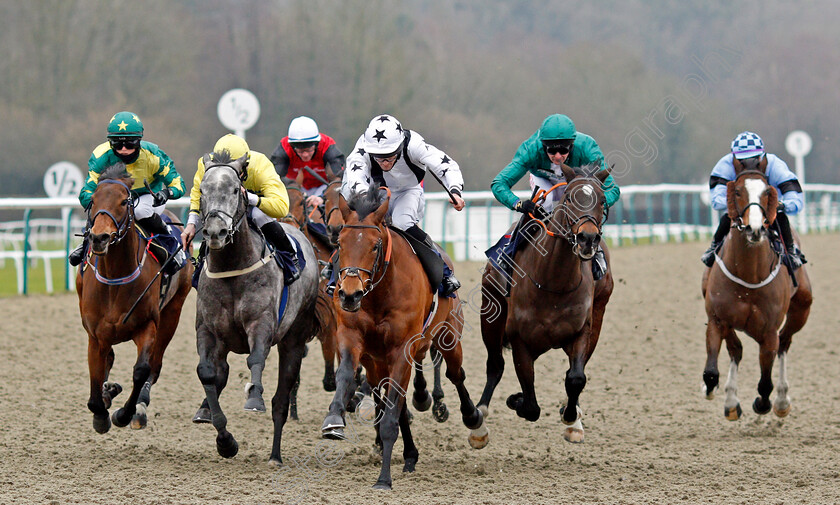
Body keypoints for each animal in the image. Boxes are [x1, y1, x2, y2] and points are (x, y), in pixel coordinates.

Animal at [76, 164, 193, 434]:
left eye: (123, 202)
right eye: (93, 200)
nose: (99, 238)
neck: (115, 279)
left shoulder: (146, 325)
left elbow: (141, 370)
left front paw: (123, 414)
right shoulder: (95, 333)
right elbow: (96, 373)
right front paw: (101, 409)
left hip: (173, 311)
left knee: (155, 364)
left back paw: (140, 407)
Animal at [192, 152, 320, 462]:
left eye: (235, 191)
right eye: (203, 191)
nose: (215, 232)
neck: (232, 268)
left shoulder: (260, 323)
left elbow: (256, 359)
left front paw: (253, 398)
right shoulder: (208, 330)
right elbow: (208, 372)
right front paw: (225, 441)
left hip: (294, 339)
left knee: (281, 399)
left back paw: (275, 455)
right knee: (221, 373)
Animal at [324, 185, 492, 488]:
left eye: (375, 245)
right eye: (340, 243)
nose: (350, 294)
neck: (378, 295)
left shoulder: (403, 347)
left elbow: (392, 414)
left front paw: (384, 479)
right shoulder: (354, 339)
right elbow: (346, 375)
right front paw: (333, 418)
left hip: (449, 335)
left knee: (455, 374)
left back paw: (473, 421)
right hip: (379, 361)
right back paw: (411, 453)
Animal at [476, 163, 612, 442]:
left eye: (602, 200)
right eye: (569, 197)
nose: (587, 239)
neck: (554, 284)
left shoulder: (582, 331)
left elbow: (576, 378)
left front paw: (570, 418)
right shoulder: (519, 339)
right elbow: (530, 403)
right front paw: (516, 399)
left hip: (598, 317)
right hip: (491, 314)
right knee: (495, 365)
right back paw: (479, 421)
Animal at [704, 167, 812, 420]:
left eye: (767, 193)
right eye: (737, 191)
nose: (755, 229)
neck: (749, 274)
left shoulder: (769, 331)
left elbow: (765, 382)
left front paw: (764, 404)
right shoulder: (717, 319)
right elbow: (712, 370)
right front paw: (714, 390)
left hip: (801, 310)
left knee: (784, 344)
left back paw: (781, 401)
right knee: (736, 350)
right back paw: (731, 402)